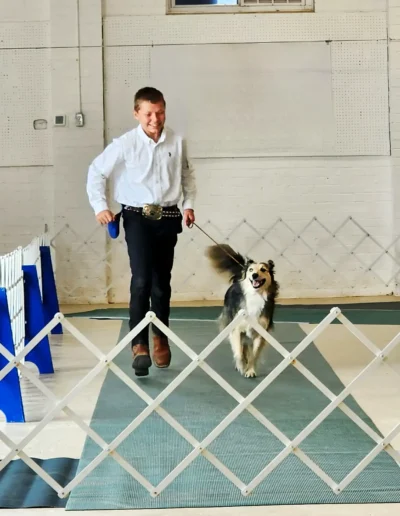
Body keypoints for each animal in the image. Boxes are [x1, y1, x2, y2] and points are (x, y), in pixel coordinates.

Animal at [205, 242, 280, 378]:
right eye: (251, 270)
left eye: (263, 269)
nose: (254, 275)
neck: (255, 295)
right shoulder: (237, 328)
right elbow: (239, 352)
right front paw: (241, 366)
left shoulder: (259, 332)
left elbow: (254, 354)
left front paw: (250, 370)